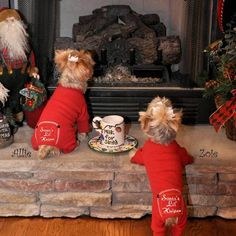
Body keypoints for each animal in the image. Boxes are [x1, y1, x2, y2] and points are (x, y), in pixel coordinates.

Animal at [129, 96, 194, 236]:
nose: (159, 96)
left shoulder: (144, 152)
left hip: (157, 220)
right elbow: (185, 155)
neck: (162, 141)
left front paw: (131, 152)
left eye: (150, 105)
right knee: (178, 231)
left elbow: (136, 156)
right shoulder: (179, 149)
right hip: (182, 220)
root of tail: (172, 214)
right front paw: (191, 158)